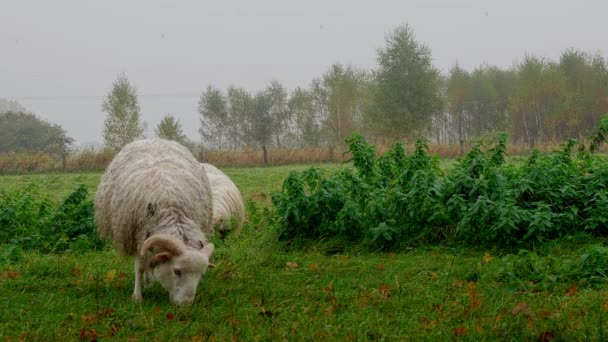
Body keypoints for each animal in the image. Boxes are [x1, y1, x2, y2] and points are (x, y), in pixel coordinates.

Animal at [95, 139, 216, 304]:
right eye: (177, 271)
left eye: (201, 274)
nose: (186, 304)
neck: (170, 207)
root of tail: (152, 139)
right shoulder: (137, 236)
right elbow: (139, 267)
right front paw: (137, 296)